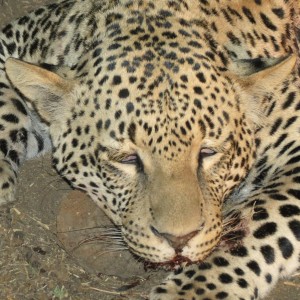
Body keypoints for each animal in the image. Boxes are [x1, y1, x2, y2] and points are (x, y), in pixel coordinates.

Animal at [0, 0, 300, 298]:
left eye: (208, 153)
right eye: (128, 159)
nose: (179, 240)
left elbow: (254, 224)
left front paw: (190, 290)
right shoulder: (14, 38)